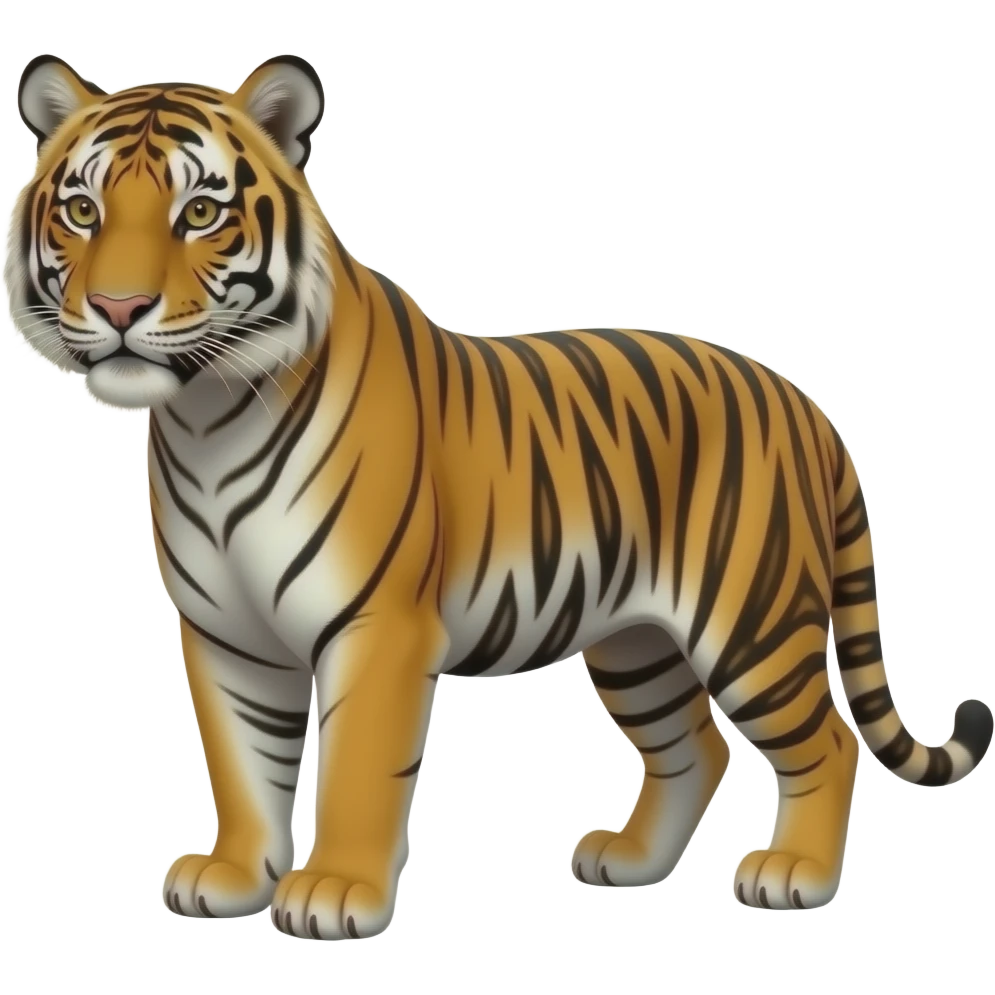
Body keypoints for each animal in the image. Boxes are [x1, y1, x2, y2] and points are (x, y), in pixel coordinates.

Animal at [4, 52, 992, 938]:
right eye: (83, 211)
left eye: (200, 212)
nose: (119, 309)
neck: (207, 416)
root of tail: (806, 404)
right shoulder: (225, 633)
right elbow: (243, 763)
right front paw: (237, 875)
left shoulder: (376, 625)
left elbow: (357, 765)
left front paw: (333, 891)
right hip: (635, 641)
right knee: (696, 746)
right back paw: (629, 859)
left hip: (752, 620)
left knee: (826, 740)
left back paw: (794, 875)